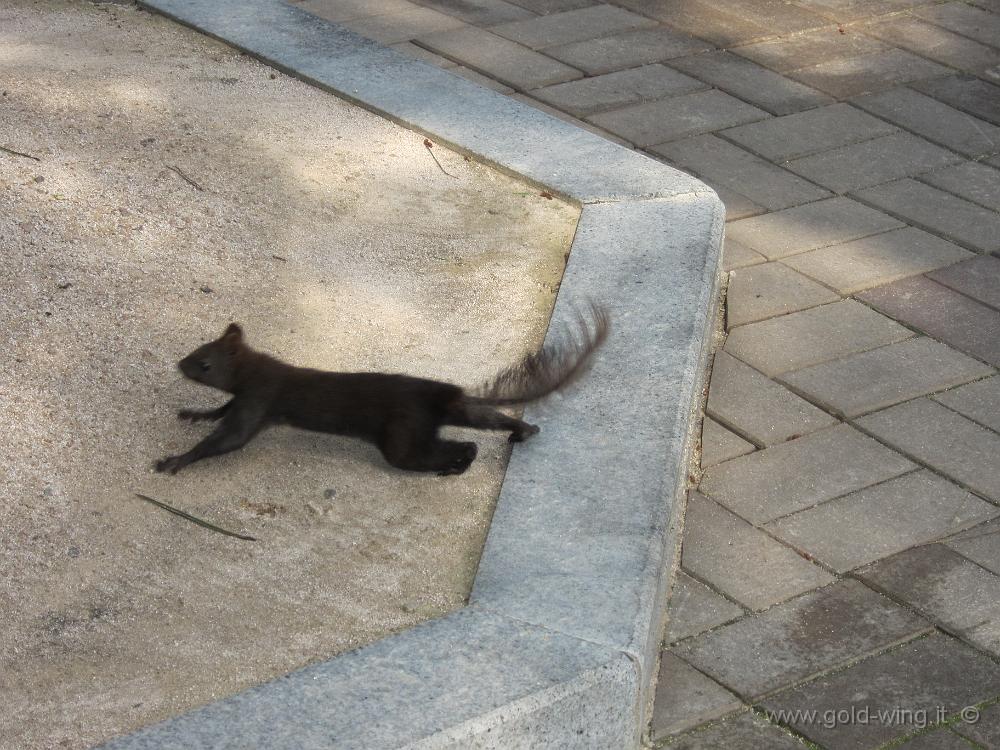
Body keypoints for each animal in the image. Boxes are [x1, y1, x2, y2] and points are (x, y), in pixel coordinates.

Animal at [156, 306, 608, 476]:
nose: (179, 365)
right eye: (197, 349)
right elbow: (219, 413)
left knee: (460, 446)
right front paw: (194, 414)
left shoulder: (260, 399)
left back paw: (457, 465)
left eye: (204, 363)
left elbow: (228, 439)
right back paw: (525, 431)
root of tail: (441, 396)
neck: (255, 371)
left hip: (402, 438)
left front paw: (174, 460)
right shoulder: (243, 400)